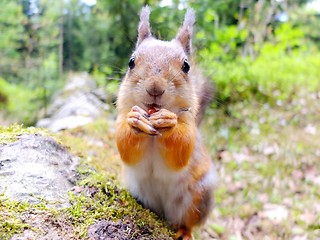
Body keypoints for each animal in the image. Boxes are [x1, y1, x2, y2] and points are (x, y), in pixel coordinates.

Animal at [115, 6, 218, 240]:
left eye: (186, 66)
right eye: (131, 62)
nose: (155, 88)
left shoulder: (189, 131)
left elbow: (181, 150)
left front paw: (168, 122)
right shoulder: (119, 119)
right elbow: (125, 147)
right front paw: (134, 121)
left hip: (198, 196)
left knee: (187, 221)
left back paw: (184, 232)